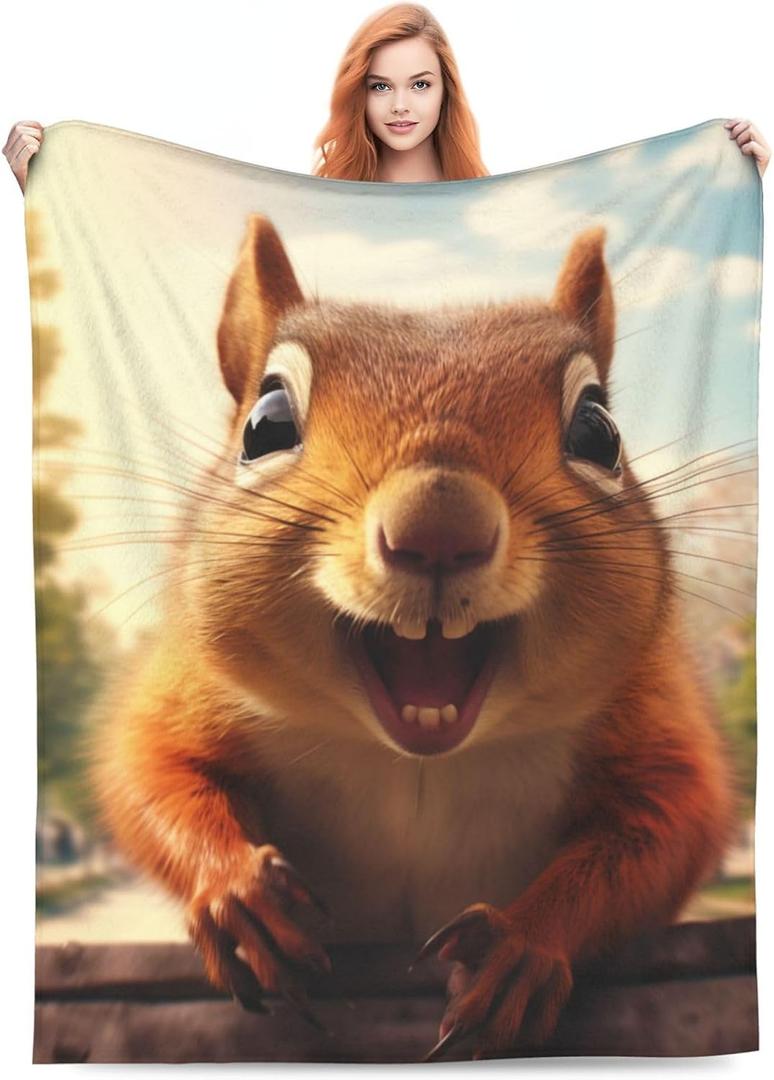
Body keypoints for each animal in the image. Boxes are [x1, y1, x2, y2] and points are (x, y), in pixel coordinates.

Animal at [88, 216, 736, 1060]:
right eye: (265, 427)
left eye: (599, 431)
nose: (439, 526)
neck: (414, 760)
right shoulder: (191, 687)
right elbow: (148, 773)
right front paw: (236, 892)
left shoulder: (649, 715)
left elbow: (666, 827)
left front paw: (522, 947)